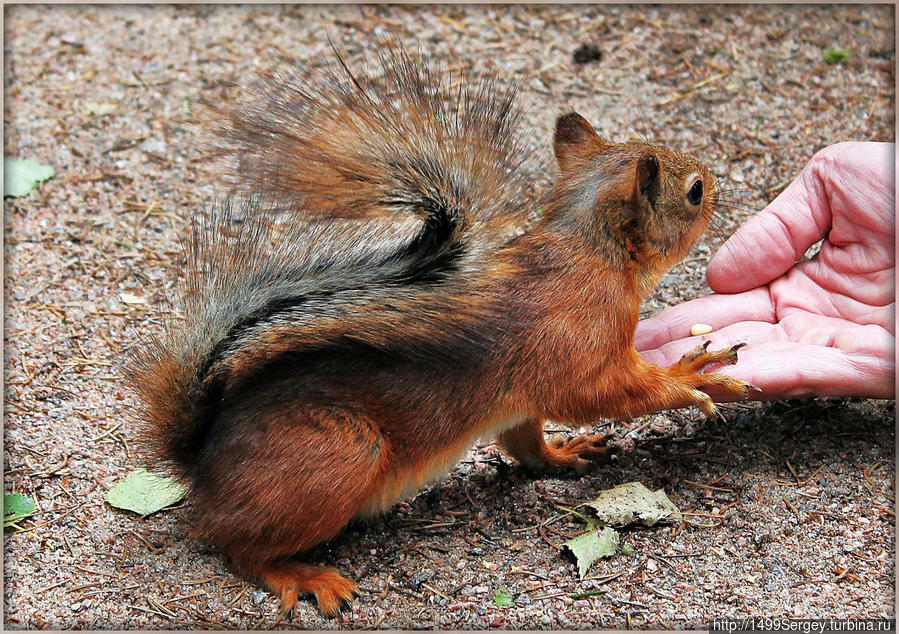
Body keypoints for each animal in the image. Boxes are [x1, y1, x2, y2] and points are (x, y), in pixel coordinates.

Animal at [128, 51, 760, 616]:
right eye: (695, 191)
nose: (719, 184)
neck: (592, 252)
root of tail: (202, 468)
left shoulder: (519, 400)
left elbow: (525, 442)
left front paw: (563, 452)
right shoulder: (575, 348)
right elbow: (601, 393)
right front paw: (690, 377)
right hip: (339, 454)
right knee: (238, 547)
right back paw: (301, 575)